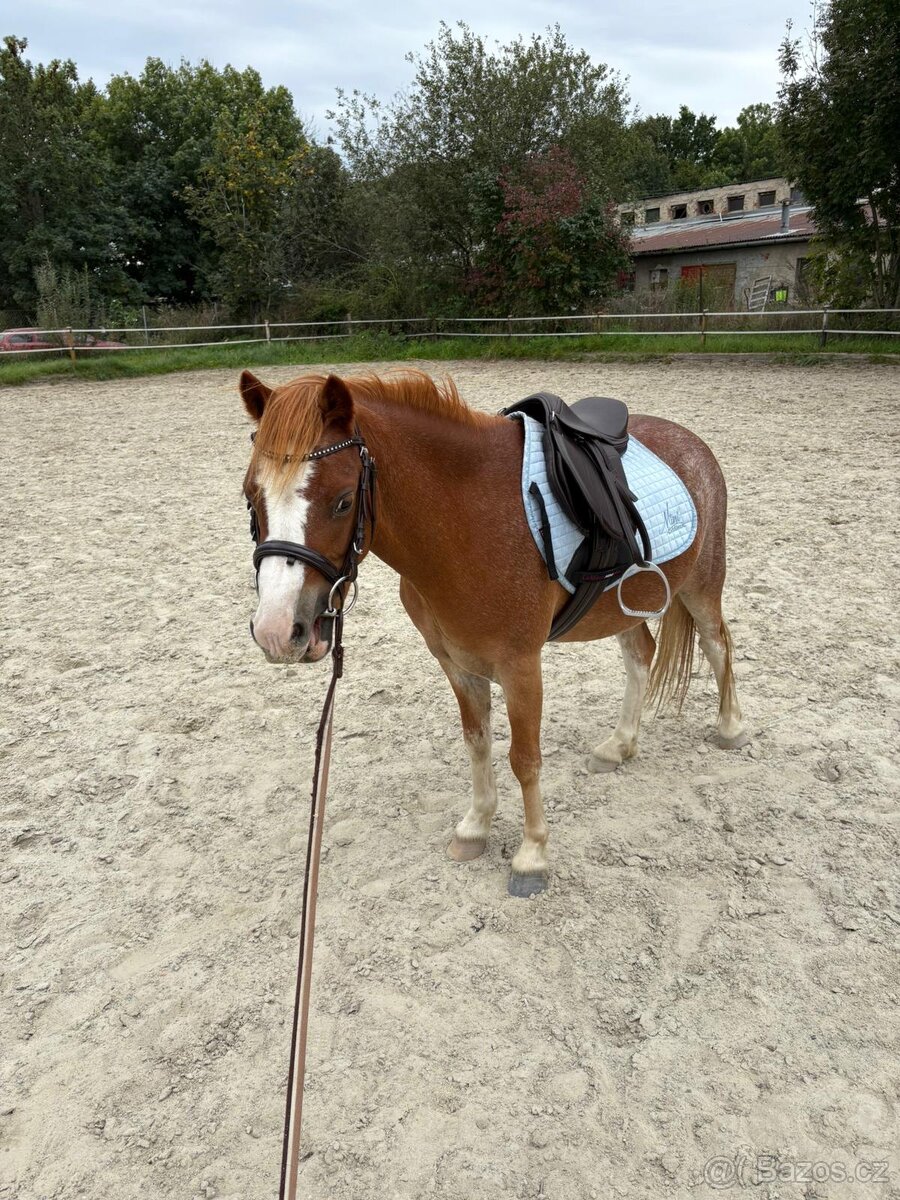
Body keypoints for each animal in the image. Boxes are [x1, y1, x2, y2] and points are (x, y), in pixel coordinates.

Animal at [240, 368, 747, 896]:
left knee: (718, 644)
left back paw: (731, 728)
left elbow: (524, 758)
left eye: (341, 502)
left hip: (701, 585)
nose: (277, 630)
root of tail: (690, 440)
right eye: (250, 497)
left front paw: (532, 856)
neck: (465, 523)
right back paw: (619, 745)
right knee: (641, 654)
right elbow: (477, 741)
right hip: (623, 605)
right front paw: (476, 827)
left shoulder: (521, 667)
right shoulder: (457, 664)